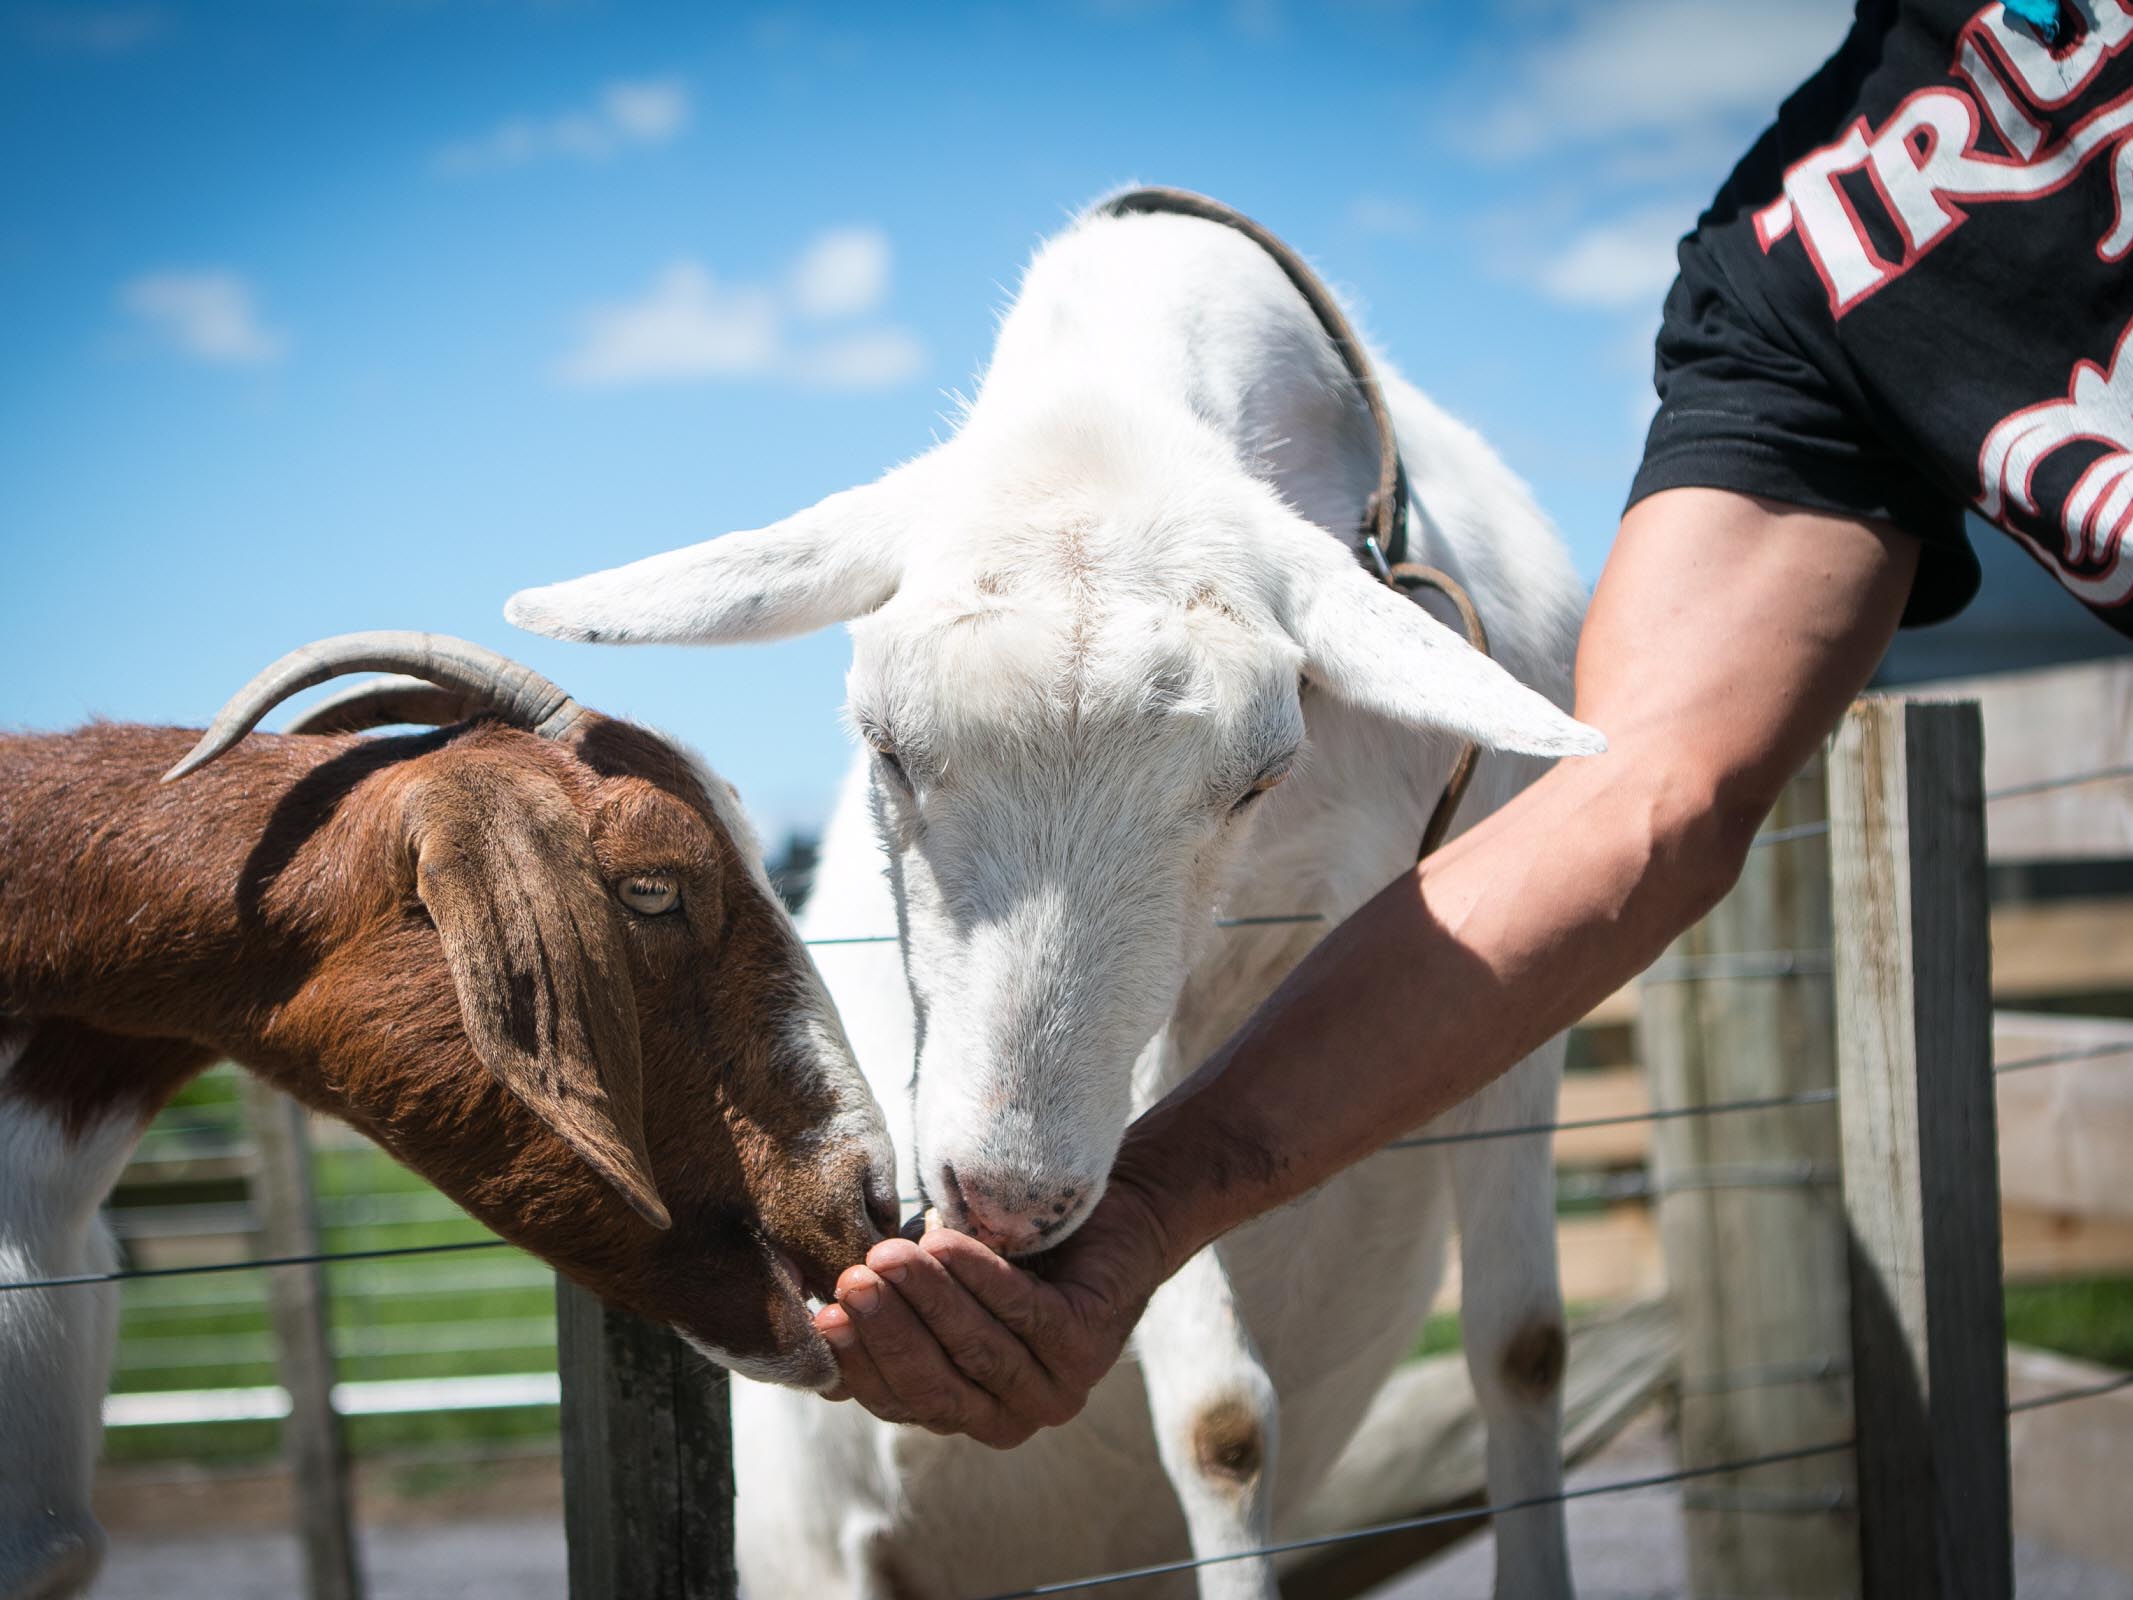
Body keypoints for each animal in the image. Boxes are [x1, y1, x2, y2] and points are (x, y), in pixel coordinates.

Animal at [507, 194, 1595, 1595]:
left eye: (1259, 775)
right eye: (882, 744)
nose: (1008, 1200)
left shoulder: (1499, 974)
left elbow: (1522, 1349)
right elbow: (1224, 1420)